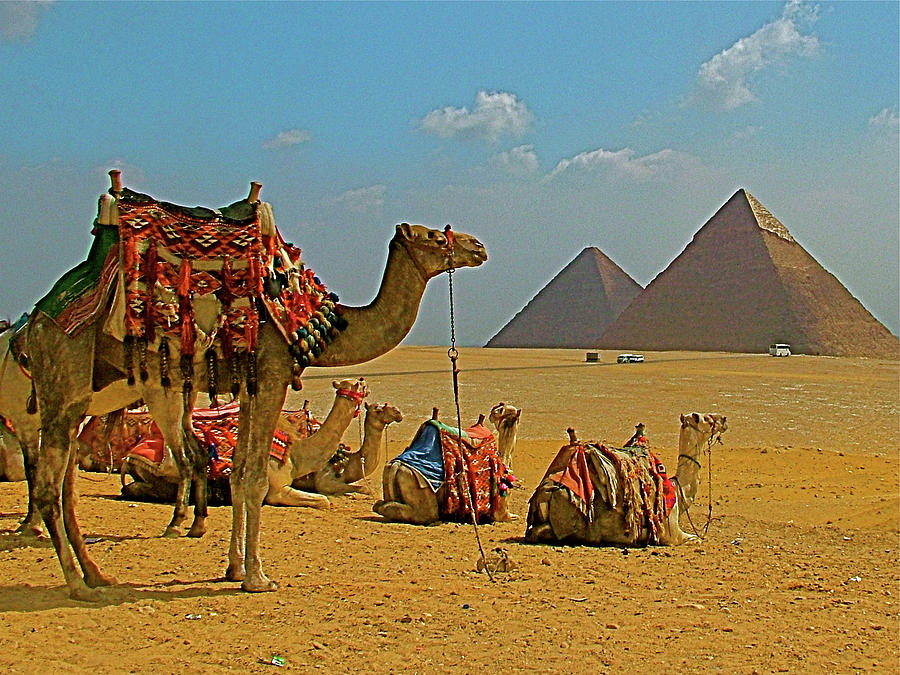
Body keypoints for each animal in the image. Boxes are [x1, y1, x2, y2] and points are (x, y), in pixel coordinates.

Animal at [28, 172, 488, 600]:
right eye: (433, 236)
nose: (478, 246)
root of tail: (36, 320)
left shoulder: (250, 389)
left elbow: (236, 476)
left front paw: (233, 568)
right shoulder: (271, 377)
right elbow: (255, 480)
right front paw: (257, 577)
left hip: (85, 395)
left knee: (65, 487)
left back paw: (97, 574)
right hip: (64, 381)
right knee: (50, 487)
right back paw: (78, 582)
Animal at [370, 402, 516, 528]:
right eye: (501, 410)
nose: (492, 413)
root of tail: (396, 466)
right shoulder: (501, 513)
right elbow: (512, 517)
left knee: (379, 505)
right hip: (419, 492)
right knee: (423, 514)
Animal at [524, 412, 728, 548]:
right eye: (705, 418)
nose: (724, 419)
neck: (677, 489)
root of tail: (544, 492)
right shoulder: (672, 535)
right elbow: (697, 538)